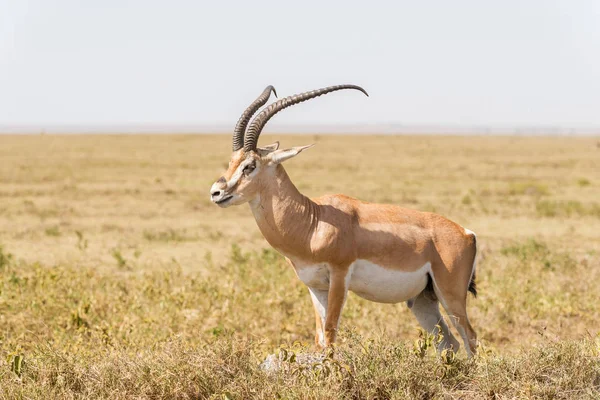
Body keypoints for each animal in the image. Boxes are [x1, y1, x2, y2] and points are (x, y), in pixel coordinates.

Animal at [211, 86, 478, 354]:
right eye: (231, 161)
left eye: (250, 165)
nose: (216, 192)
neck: (313, 222)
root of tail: (467, 233)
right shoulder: (315, 286)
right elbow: (319, 338)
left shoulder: (339, 276)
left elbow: (330, 333)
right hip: (423, 300)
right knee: (449, 343)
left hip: (451, 296)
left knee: (470, 337)